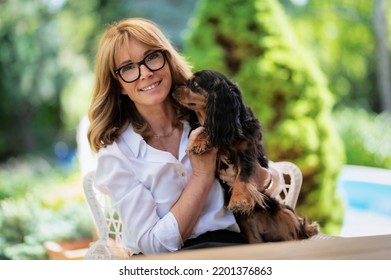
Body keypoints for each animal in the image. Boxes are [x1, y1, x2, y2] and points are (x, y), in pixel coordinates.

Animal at [173, 69, 320, 242]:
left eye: (195, 84)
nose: (173, 87)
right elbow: (204, 129)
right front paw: (198, 142)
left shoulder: (246, 152)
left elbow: (242, 176)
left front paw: (238, 200)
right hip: (248, 228)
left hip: (285, 212)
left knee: (297, 231)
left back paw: (309, 229)